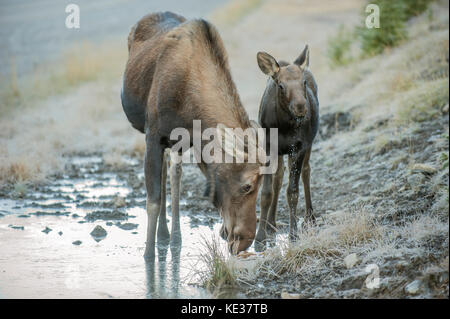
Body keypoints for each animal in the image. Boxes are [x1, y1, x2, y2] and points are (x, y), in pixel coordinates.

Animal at [121, 11, 264, 260]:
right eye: (247, 186)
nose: (245, 241)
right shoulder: (153, 134)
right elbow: (153, 200)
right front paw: (149, 255)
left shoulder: (189, 141)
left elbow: (175, 182)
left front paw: (174, 240)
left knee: (171, 173)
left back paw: (167, 234)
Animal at [255, 45, 318, 246]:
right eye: (281, 86)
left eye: (303, 83)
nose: (301, 107)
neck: (283, 126)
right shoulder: (269, 147)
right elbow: (266, 192)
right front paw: (260, 237)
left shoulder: (299, 147)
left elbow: (292, 193)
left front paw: (293, 234)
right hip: (281, 152)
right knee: (279, 177)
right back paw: (271, 224)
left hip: (308, 144)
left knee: (306, 171)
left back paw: (310, 217)